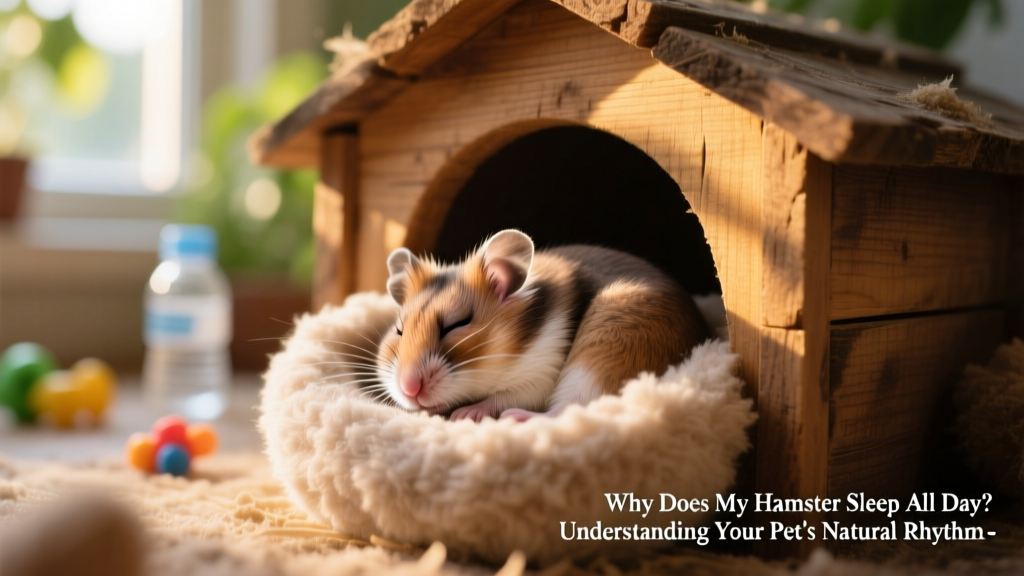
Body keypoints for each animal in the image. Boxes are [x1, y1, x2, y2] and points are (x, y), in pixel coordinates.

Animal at [375, 229, 710, 422]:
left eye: (457, 323)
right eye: (399, 330)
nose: (408, 389)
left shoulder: (542, 372)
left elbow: (505, 396)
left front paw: (465, 413)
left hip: (600, 357)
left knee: (571, 410)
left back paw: (516, 418)